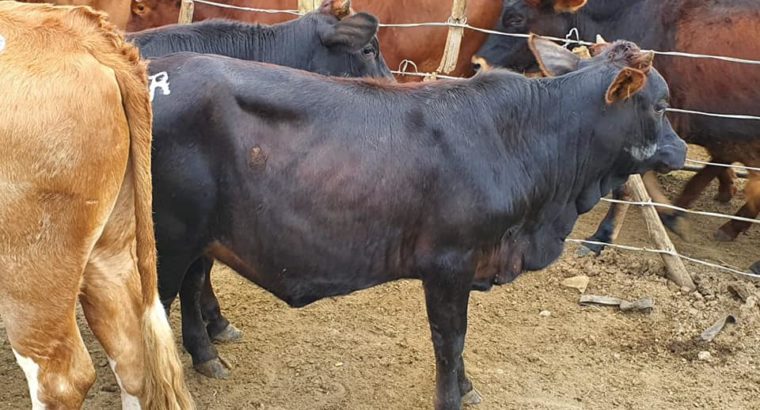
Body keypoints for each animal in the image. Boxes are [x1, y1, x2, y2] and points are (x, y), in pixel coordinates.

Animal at [145, 35, 685, 408]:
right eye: (660, 104)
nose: (681, 150)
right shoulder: (448, 263)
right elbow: (450, 339)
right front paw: (453, 395)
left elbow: (459, 342)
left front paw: (467, 387)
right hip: (168, 240)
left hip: (203, 235)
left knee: (193, 285)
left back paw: (207, 355)